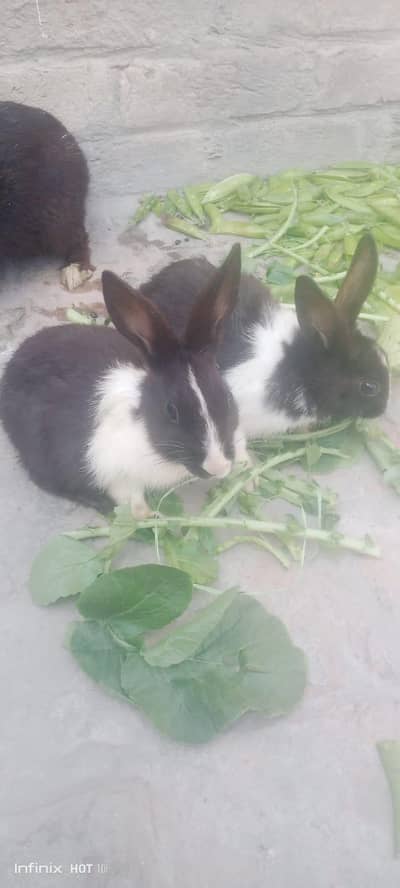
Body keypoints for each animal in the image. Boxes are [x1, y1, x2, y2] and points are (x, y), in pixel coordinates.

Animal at [0, 244, 249, 517]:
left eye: (227, 397)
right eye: (171, 411)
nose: (218, 467)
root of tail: (12, 365)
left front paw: (246, 476)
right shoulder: (114, 473)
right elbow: (132, 501)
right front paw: (151, 516)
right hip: (42, 450)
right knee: (45, 478)